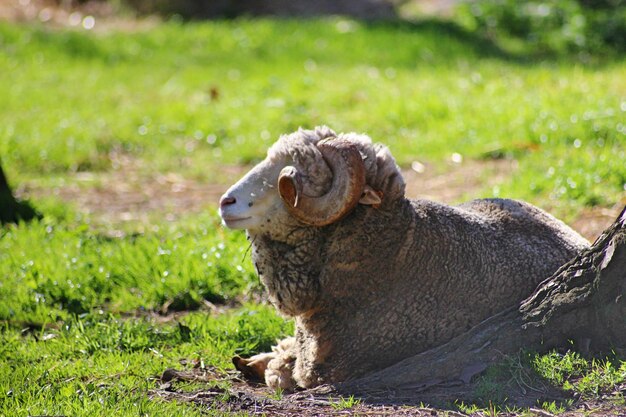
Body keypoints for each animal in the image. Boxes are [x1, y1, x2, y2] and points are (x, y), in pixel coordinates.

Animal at [217, 126, 588, 390]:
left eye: (291, 174)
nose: (225, 202)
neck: (391, 256)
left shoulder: (336, 369)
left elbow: (284, 373)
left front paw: (269, 364)